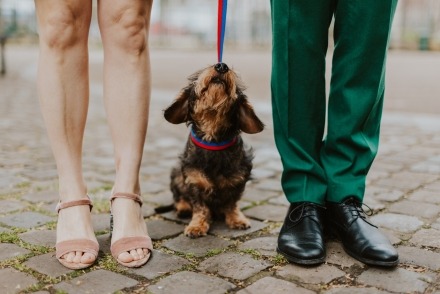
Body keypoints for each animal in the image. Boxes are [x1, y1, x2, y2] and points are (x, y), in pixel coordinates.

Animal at [162, 63, 262, 238]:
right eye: (199, 74)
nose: (222, 66)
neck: (213, 140)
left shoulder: (238, 180)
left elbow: (231, 203)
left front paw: (237, 219)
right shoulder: (194, 180)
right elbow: (200, 207)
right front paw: (196, 226)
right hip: (176, 175)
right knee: (178, 197)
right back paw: (183, 208)